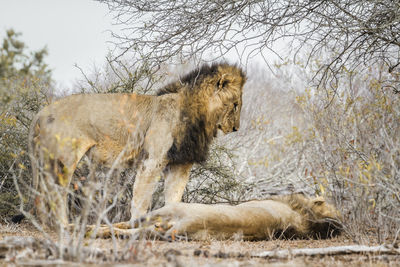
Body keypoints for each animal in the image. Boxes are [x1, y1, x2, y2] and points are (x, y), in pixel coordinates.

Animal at [28, 63, 245, 228]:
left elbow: (174, 196)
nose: (236, 128)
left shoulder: (180, 164)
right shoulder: (152, 159)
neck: (199, 115)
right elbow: (141, 197)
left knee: (42, 193)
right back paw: (63, 225)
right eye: (235, 104)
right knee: (56, 193)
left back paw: (45, 224)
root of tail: (41, 113)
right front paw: (136, 224)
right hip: (63, 158)